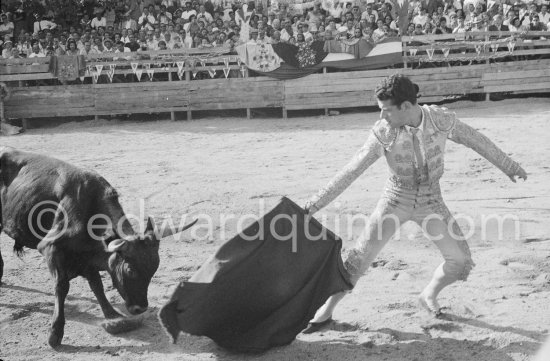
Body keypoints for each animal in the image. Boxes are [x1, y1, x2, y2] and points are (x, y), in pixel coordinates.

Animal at [0, 146, 198, 346]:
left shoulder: (87, 258)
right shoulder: (50, 249)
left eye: (154, 269)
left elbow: (97, 285)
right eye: (130, 270)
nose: (140, 308)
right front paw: (55, 332)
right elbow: (61, 287)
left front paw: (112, 315)